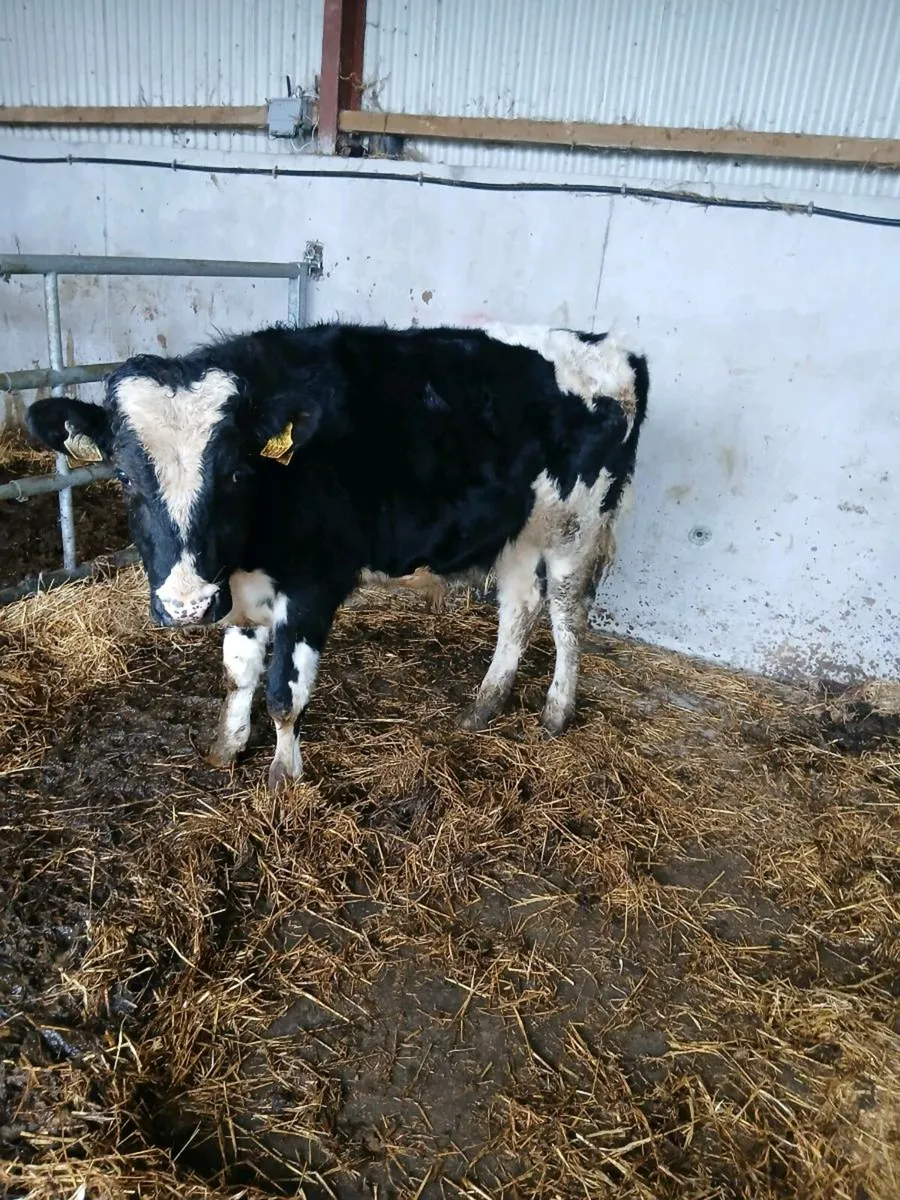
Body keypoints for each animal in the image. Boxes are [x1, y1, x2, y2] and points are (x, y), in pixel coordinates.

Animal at [27, 322, 649, 791]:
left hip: (574, 526)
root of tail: (611, 346)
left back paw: (557, 711)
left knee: (566, 613)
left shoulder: (312, 589)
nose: (186, 607)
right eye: (126, 478)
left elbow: (283, 693)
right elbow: (238, 673)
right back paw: (485, 704)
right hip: (518, 531)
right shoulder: (241, 593)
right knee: (520, 606)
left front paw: (284, 775)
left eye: (234, 472)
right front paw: (228, 746)